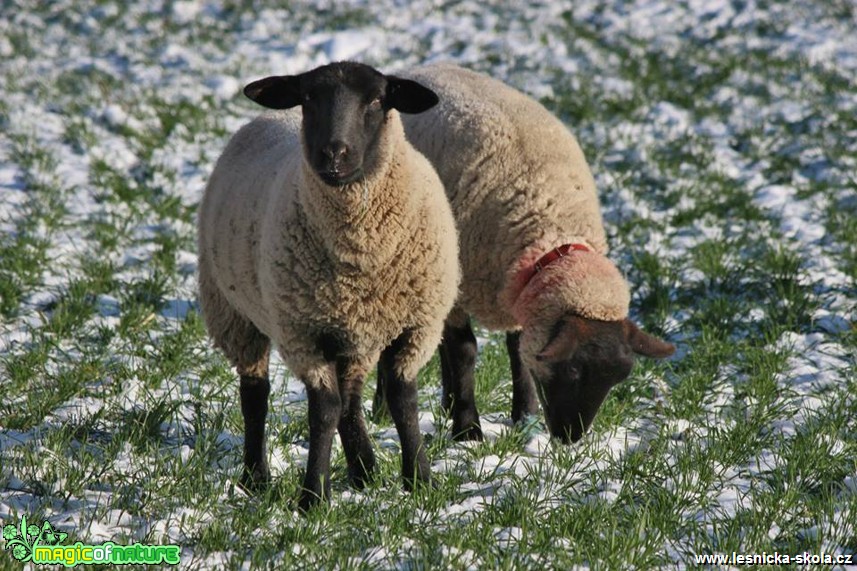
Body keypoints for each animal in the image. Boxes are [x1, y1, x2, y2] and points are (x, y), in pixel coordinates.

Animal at [196, 62, 458, 510]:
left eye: (377, 100)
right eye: (308, 98)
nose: (334, 154)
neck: (360, 251)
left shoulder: (417, 325)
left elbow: (402, 399)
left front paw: (420, 481)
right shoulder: (303, 333)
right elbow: (323, 409)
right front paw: (313, 497)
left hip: (354, 334)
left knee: (351, 399)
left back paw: (365, 472)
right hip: (235, 315)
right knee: (256, 396)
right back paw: (255, 478)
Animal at [372, 65, 672, 444]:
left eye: (616, 379)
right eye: (573, 370)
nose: (570, 438)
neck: (552, 231)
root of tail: (419, 68)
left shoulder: (518, 290)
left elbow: (516, 352)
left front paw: (524, 417)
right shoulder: (462, 281)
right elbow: (464, 350)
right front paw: (468, 431)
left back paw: (445, 403)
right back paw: (384, 411)